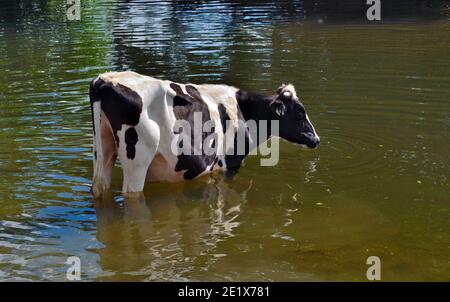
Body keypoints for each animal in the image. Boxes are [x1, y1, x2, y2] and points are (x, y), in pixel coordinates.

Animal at [89, 71, 320, 196]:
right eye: (299, 113)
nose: (316, 139)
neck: (243, 111)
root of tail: (106, 80)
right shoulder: (230, 164)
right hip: (137, 160)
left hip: (102, 151)